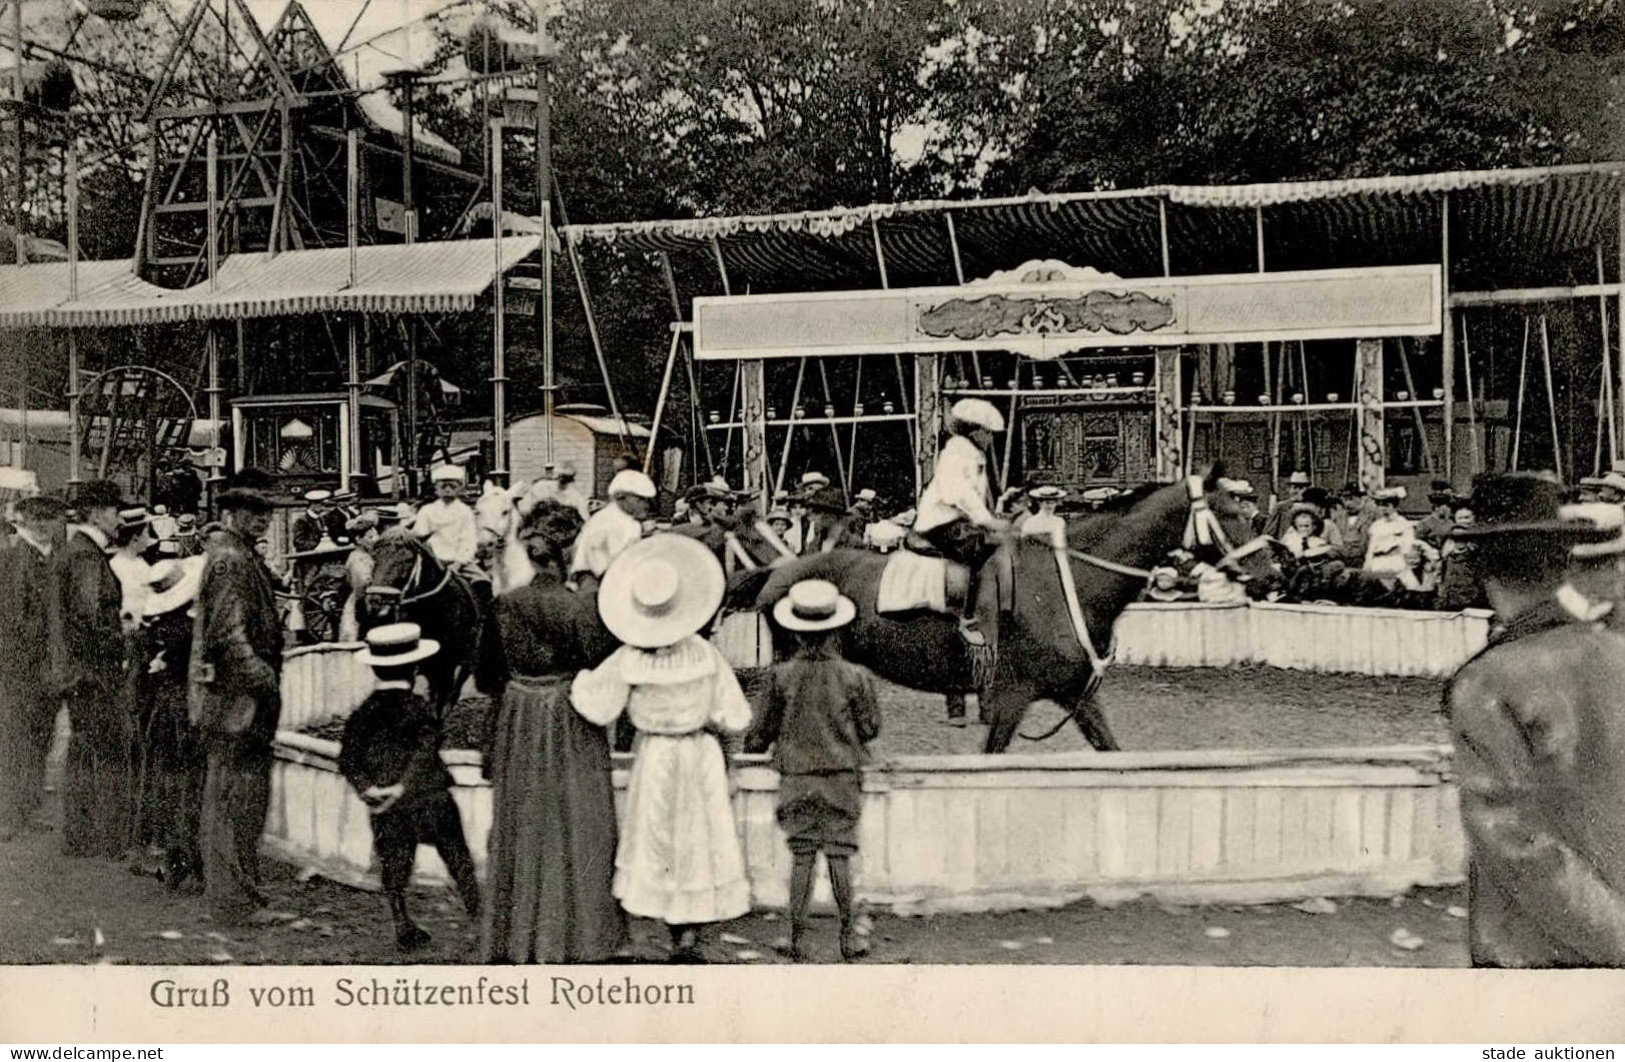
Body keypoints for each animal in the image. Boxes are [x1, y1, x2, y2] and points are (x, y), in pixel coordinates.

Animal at [355, 529, 481, 714]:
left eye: (407, 560)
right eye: (375, 558)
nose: (374, 601)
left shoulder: (447, 666)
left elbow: (441, 701)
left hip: (467, 657)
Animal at [747, 467, 1267, 756]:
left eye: (1248, 512)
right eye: (1230, 514)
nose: (1271, 570)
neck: (1069, 582)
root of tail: (779, 572)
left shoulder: (1077, 696)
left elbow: (1112, 751)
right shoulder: (1011, 698)